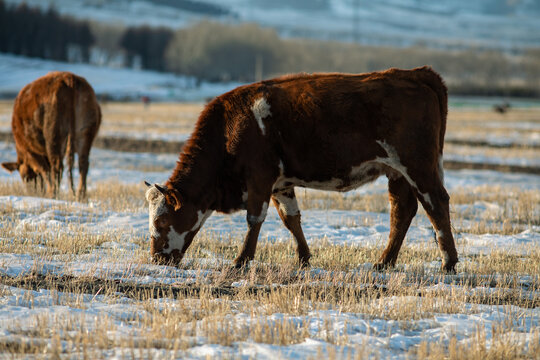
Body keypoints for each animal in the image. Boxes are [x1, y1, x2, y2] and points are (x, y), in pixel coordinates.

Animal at [146, 66, 458, 272]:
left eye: (161, 221)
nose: (156, 258)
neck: (230, 128)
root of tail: (415, 73)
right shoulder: (281, 184)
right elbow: (291, 219)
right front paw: (304, 259)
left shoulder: (260, 177)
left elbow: (254, 219)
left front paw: (241, 260)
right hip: (398, 173)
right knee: (402, 211)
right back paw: (384, 262)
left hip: (418, 166)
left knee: (436, 204)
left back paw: (448, 263)